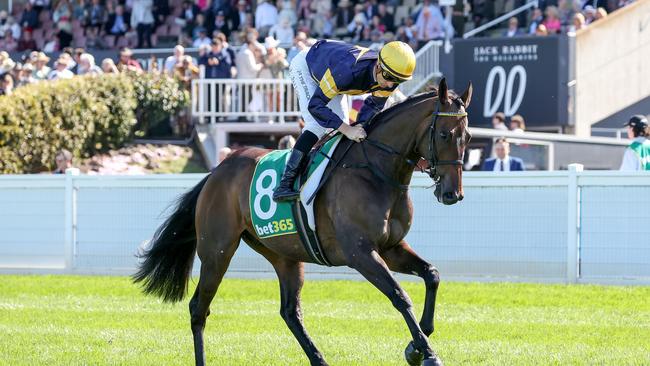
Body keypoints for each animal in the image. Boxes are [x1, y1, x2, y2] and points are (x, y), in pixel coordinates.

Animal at [133, 78, 470, 366]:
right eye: (444, 134)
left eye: (466, 137)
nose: (452, 193)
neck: (375, 170)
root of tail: (217, 171)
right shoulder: (360, 253)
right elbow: (399, 296)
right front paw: (426, 352)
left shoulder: (391, 247)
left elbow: (432, 275)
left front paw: (418, 342)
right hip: (217, 250)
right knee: (198, 308)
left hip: (284, 254)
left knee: (290, 312)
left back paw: (319, 359)